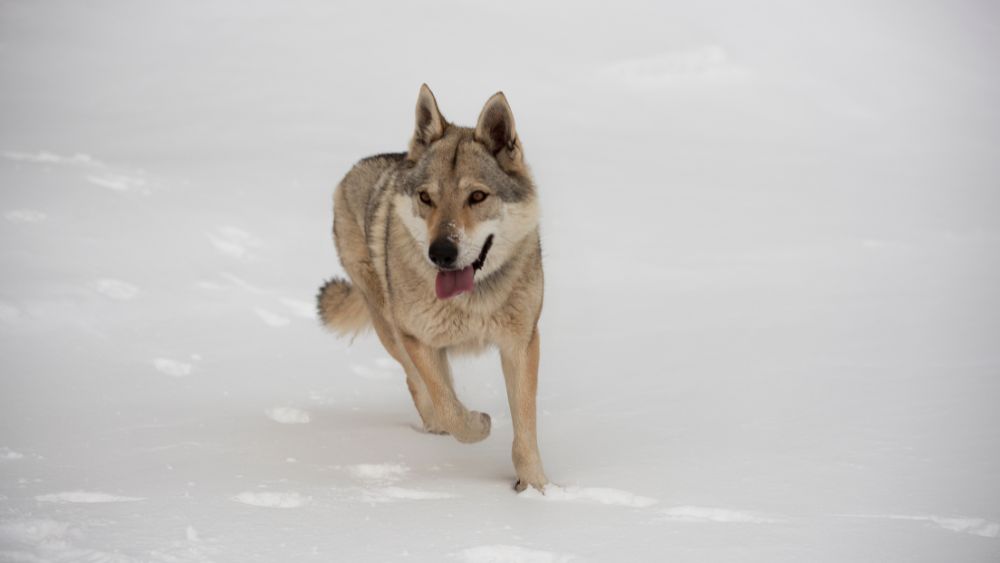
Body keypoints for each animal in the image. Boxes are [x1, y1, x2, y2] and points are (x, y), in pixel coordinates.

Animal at [318, 85, 548, 494]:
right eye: (426, 198)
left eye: (477, 197)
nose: (441, 253)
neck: (471, 302)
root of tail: (357, 169)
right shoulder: (418, 339)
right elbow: (451, 408)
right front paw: (479, 424)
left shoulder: (521, 343)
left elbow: (525, 426)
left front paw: (536, 489)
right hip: (391, 329)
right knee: (418, 384)